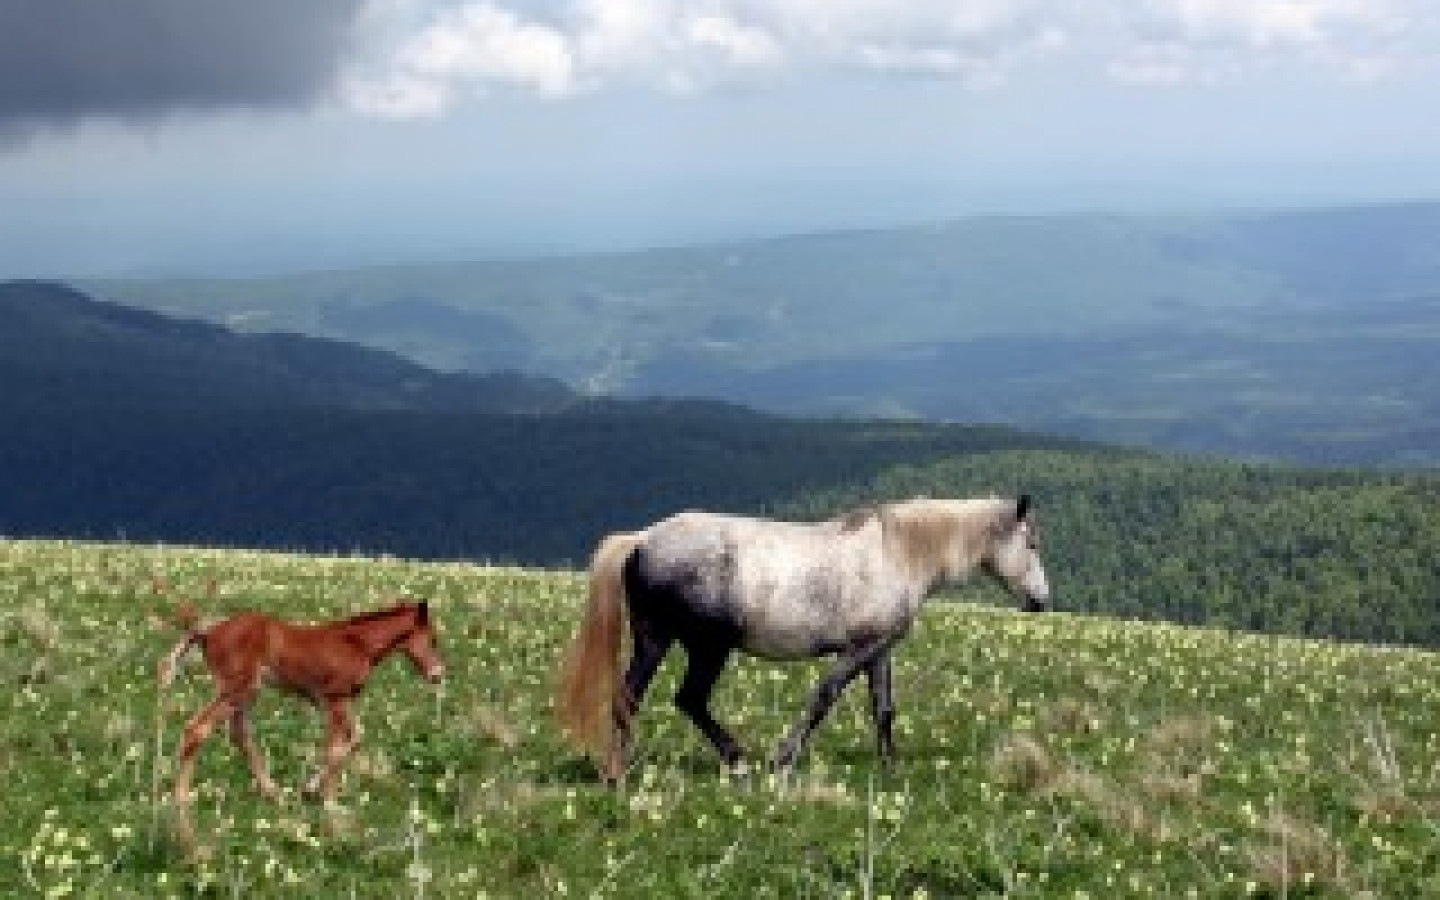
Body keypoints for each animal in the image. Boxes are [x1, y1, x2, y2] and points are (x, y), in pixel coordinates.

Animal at [552, 492, 1048, 777]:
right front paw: (784, 758)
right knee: (685, 698)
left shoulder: (879, 650)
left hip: (658, 639)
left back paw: (627, 770)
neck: (897, 553)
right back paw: (728, 762)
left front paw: (891, 768)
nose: (1041, 601)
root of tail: (641, 539)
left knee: (636, 697)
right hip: (707, 647)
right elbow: (824, 696)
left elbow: (884, 709)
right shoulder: (858, 649)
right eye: (1031, 543)